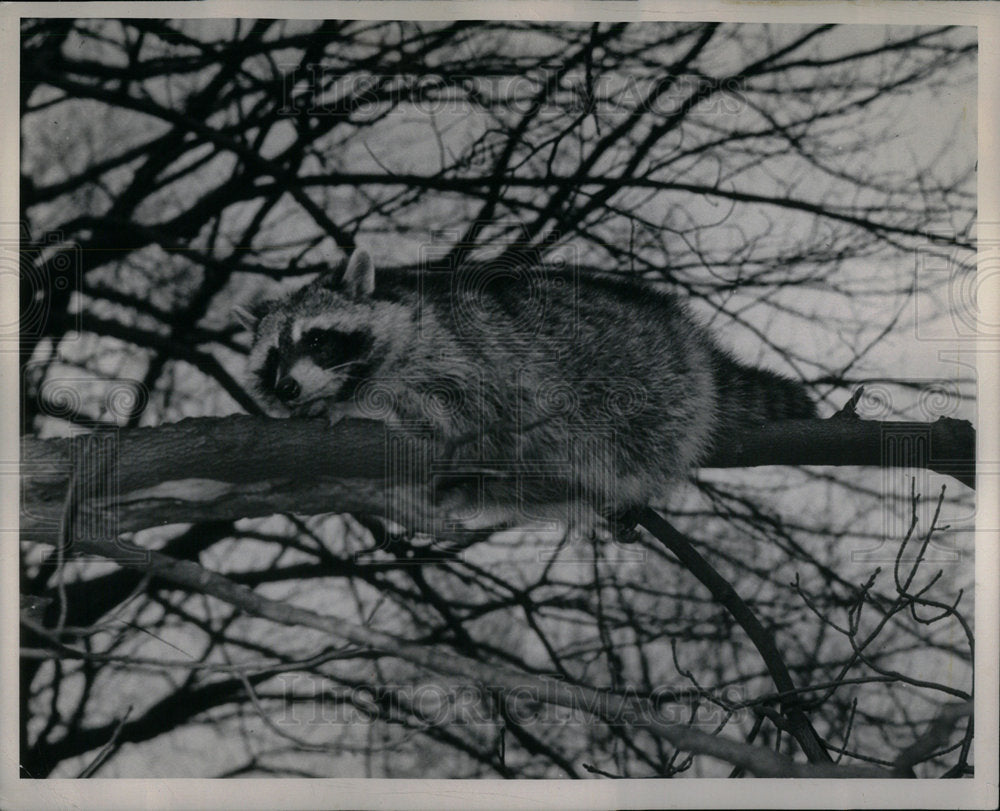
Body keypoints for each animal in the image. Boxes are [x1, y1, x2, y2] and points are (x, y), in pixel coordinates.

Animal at [238, 249, 816, 532]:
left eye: (317, 339)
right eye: (272, 359)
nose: (288, 388)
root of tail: (688, 338)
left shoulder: (466, 357)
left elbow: (452, 411)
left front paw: (359, 407)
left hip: (645, 386)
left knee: (632, 442)